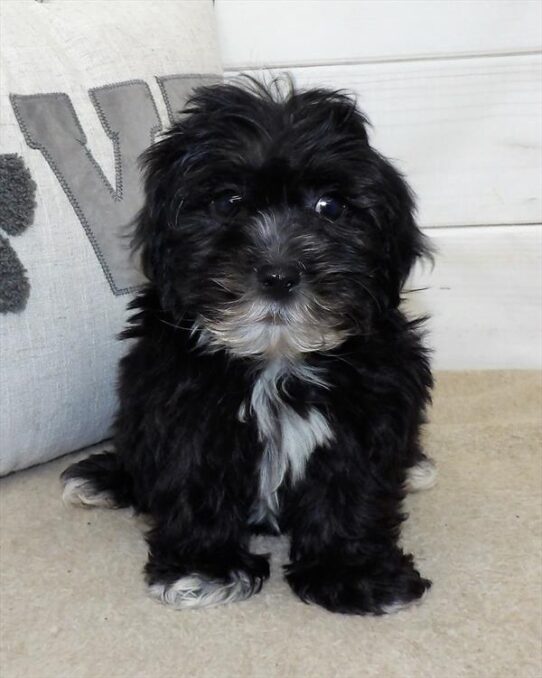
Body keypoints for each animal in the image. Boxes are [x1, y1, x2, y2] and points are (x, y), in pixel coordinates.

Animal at [62, 77, 438, 612]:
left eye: (330, 207)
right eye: (227, 203)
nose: (279, 275)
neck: (276, 359)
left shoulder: (369, 412)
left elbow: (353, 490)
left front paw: (353, 571)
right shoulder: (183, 409)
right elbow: (193, 480)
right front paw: (204, 567)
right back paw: (108, 476)